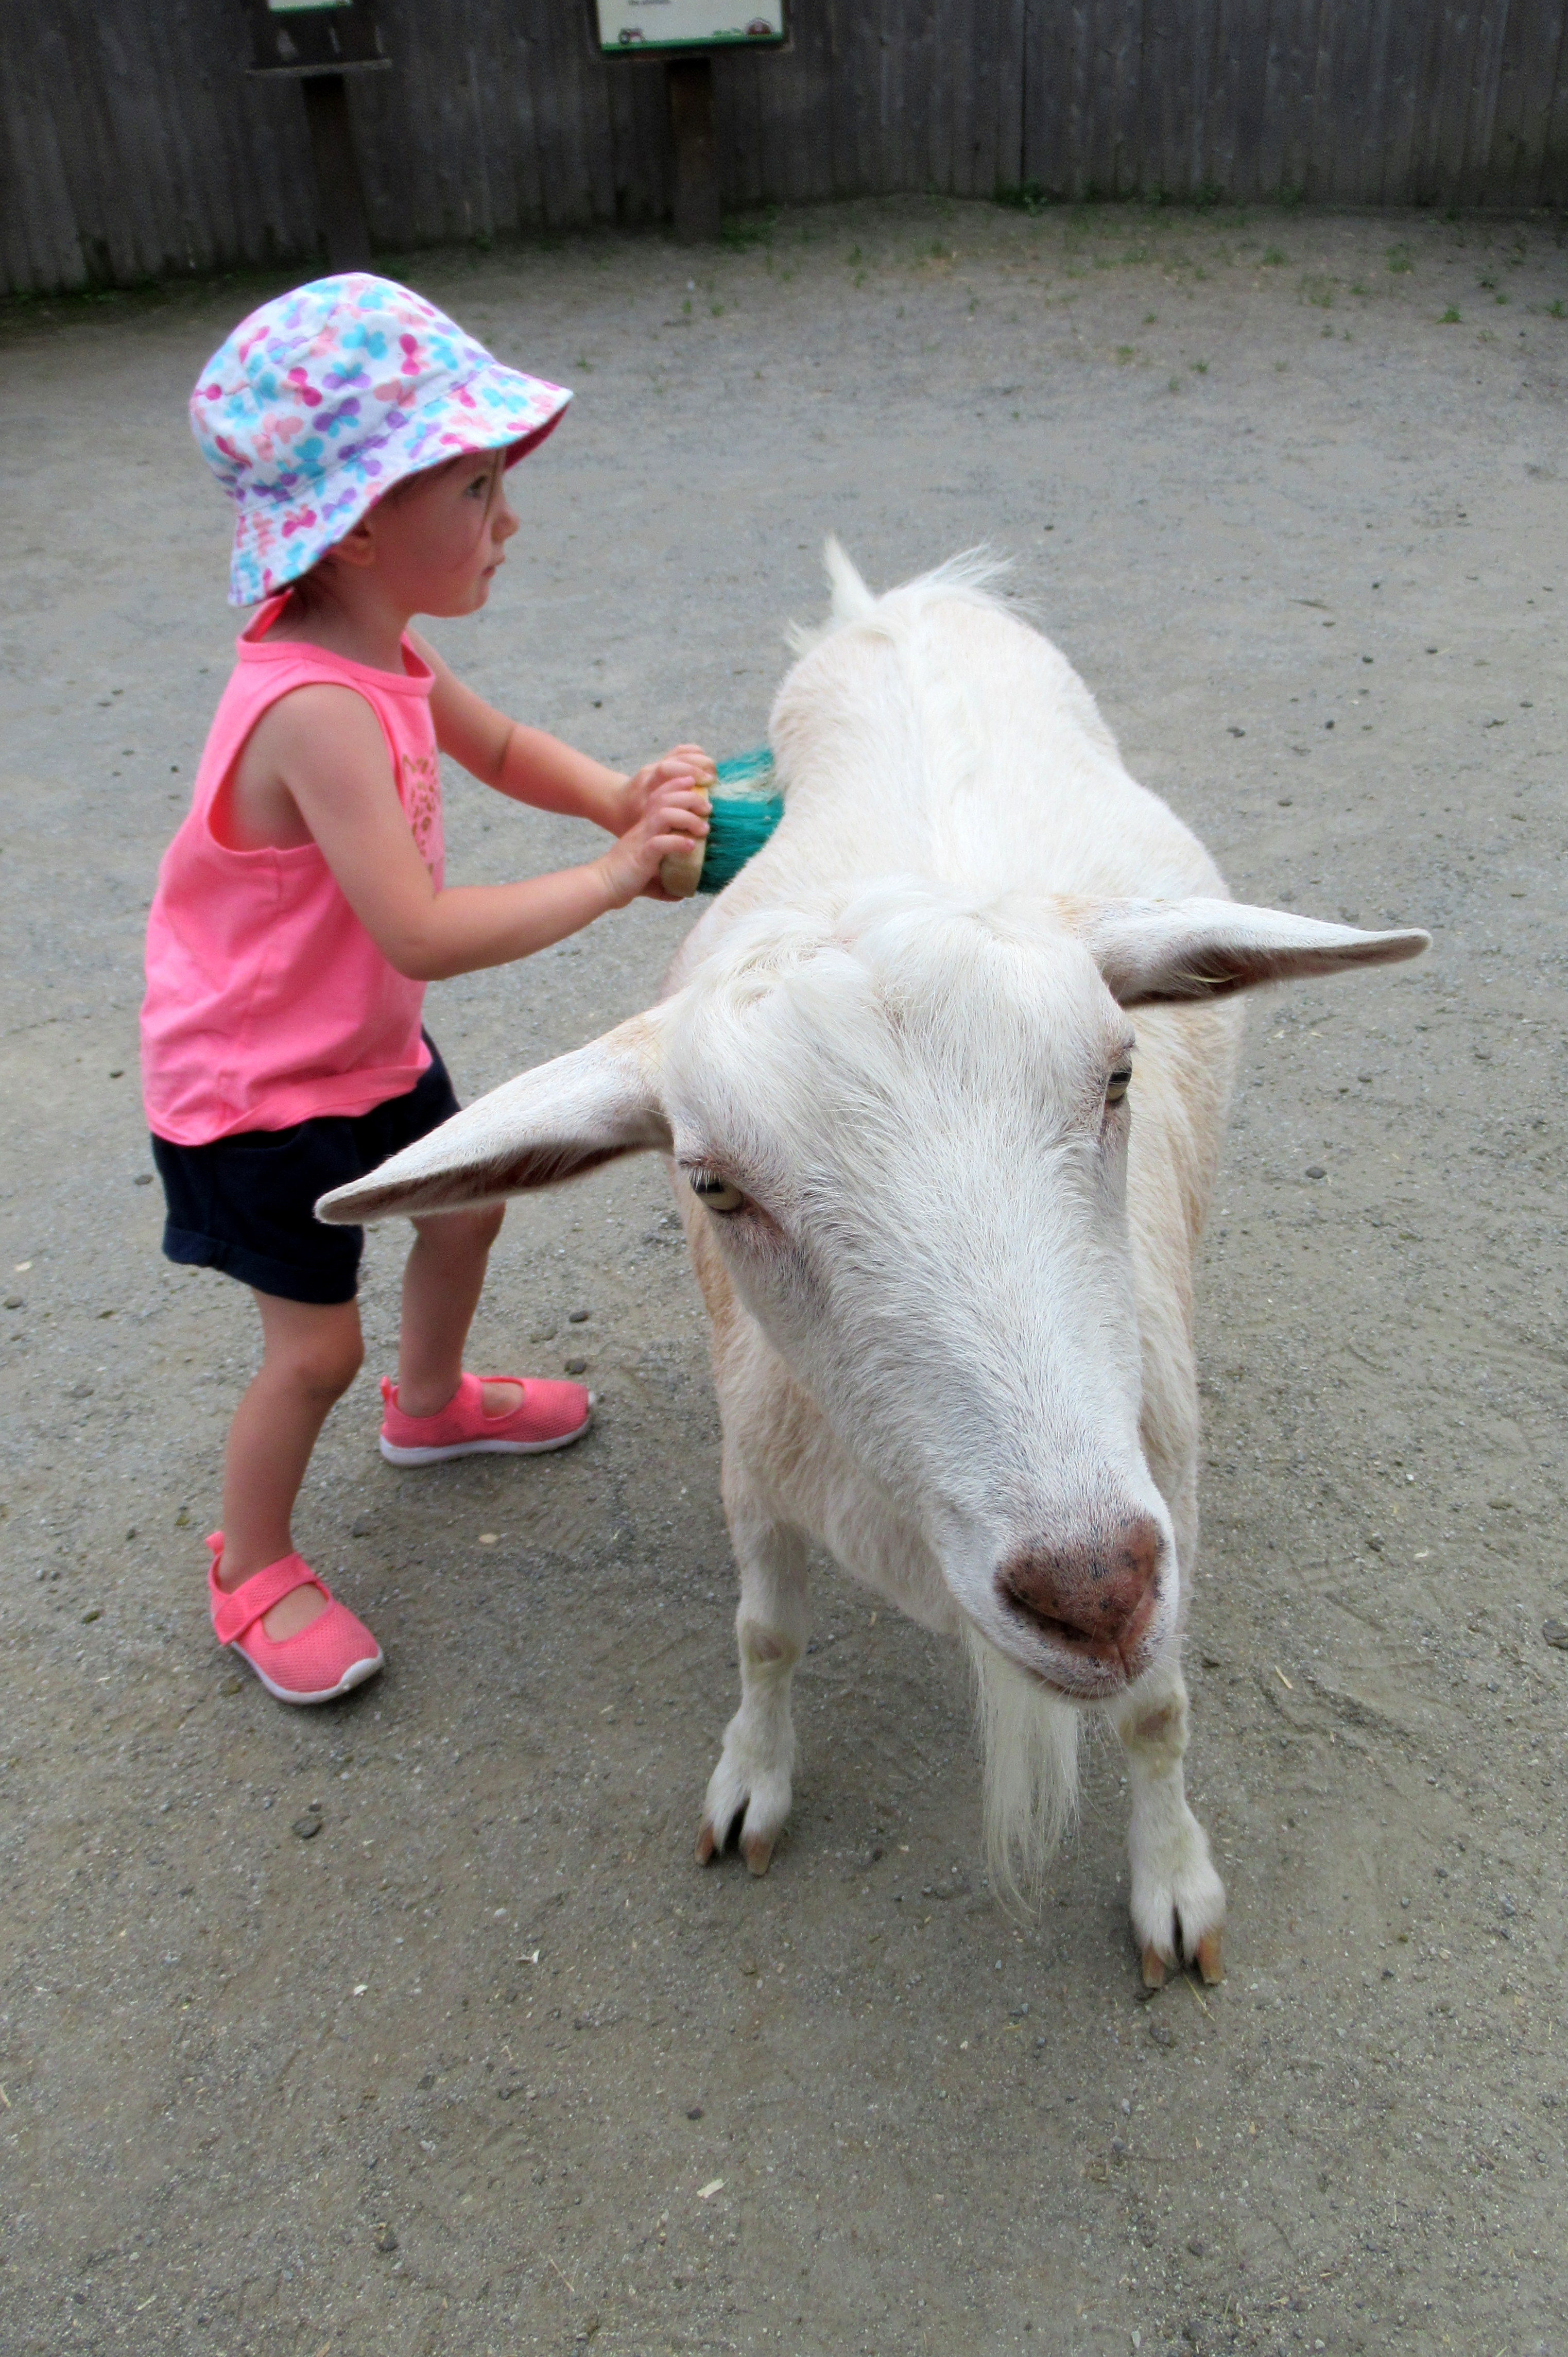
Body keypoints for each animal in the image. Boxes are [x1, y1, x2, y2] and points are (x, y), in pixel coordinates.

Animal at [320, 545, 1428, 1985]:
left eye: (1119, 1074)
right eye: (713, 1184)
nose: (1091, 1589)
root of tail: (896, 605)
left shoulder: (1166, 1482)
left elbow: (1157, 1708)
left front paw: (1174, 1881)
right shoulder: (755, 1460)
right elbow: (764, 1631)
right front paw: (750, 1782)